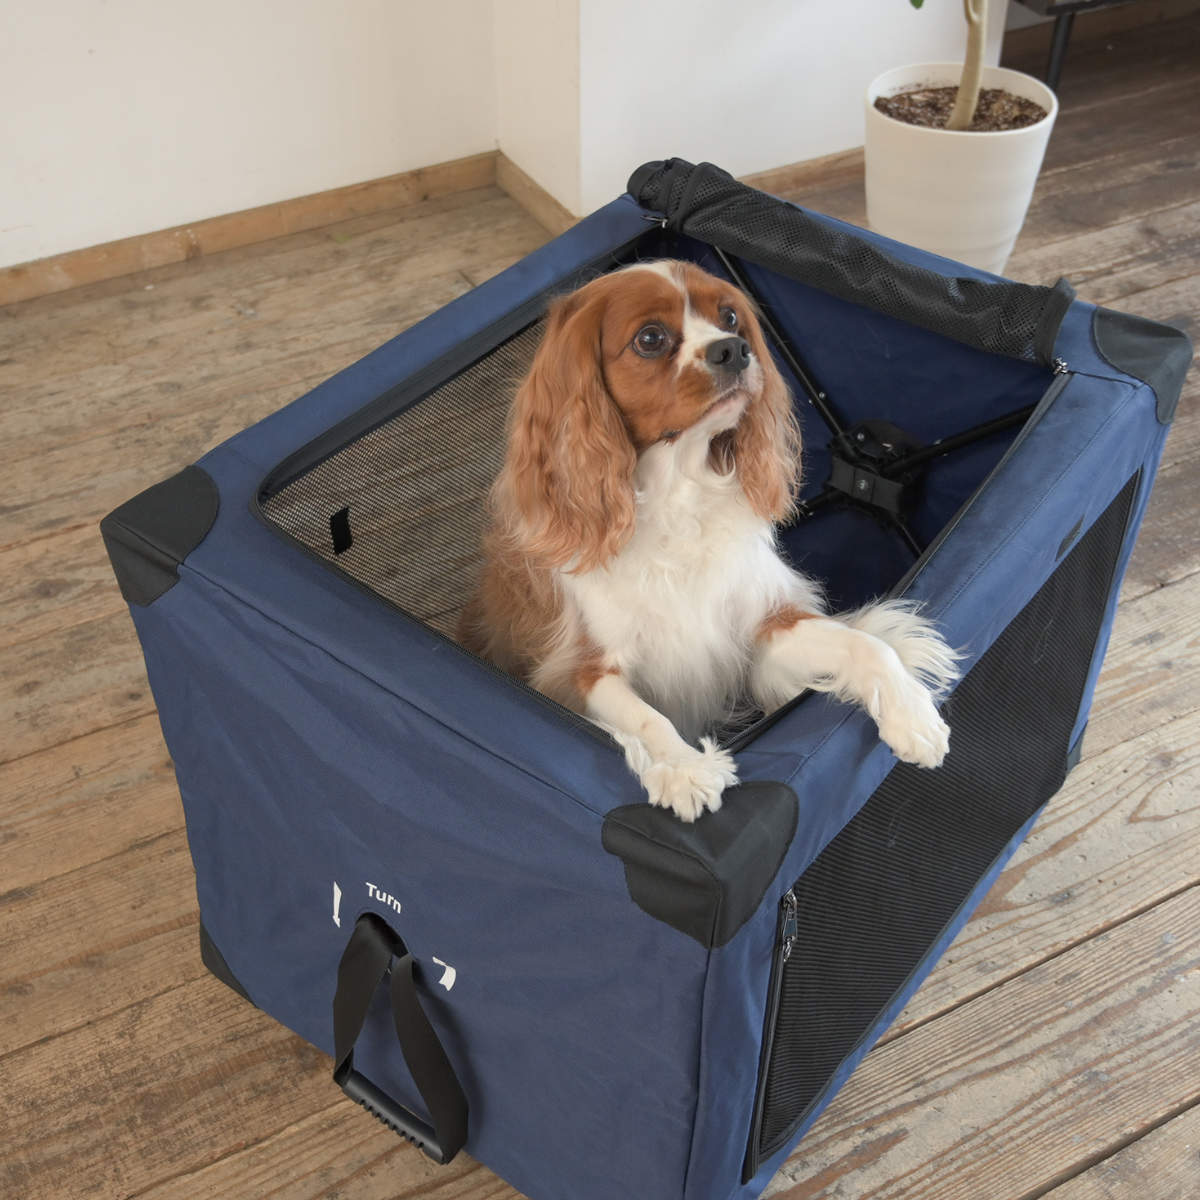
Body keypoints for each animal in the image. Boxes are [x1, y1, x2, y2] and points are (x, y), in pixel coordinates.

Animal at [458, 260, 955, 825]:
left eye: (730, 317)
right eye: (650, 338)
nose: (732, 349)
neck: (678, 490)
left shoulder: (761, 627)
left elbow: (865, 644)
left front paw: (912, 713)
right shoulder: (577, 672)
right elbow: (645, 717)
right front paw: (684, 770)